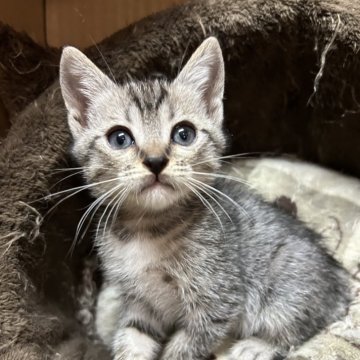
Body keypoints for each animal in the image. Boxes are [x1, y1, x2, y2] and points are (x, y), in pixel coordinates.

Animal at [59, 38, 352, 358]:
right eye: (119, 138)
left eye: (183, 134)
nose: (155, 161)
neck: (146, 228)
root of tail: (339, 279)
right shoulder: (141, 303)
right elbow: (132, 337)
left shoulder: (217, 301)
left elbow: (183, 348)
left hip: (288, 285)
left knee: (299, 325)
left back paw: (255, 346)